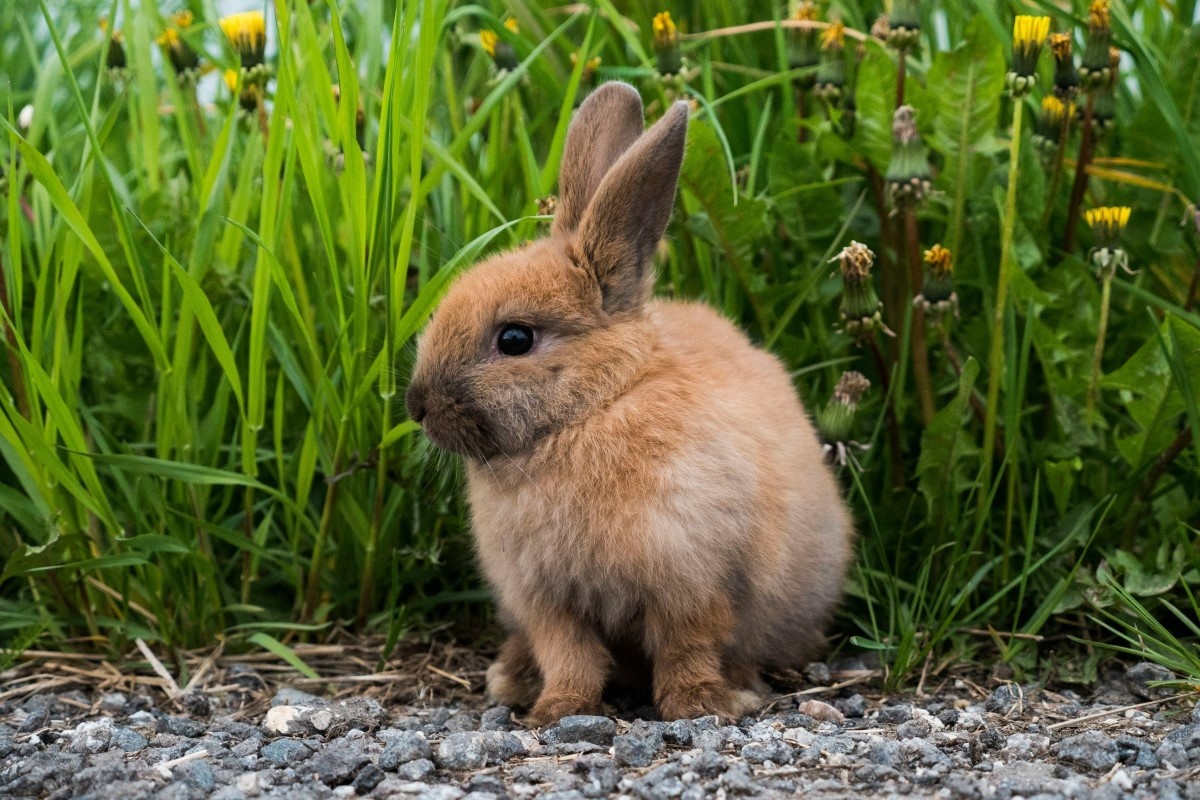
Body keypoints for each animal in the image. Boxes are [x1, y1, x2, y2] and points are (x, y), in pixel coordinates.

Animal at [405, 81, 853, 725]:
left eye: (514, 339)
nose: (416, 405)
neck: (593, 411)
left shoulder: (693, 581)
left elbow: (686, 647)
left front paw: (699, 705)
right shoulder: (548, 600)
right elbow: (569, 656)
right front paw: (556, 711)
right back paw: (512, 679)